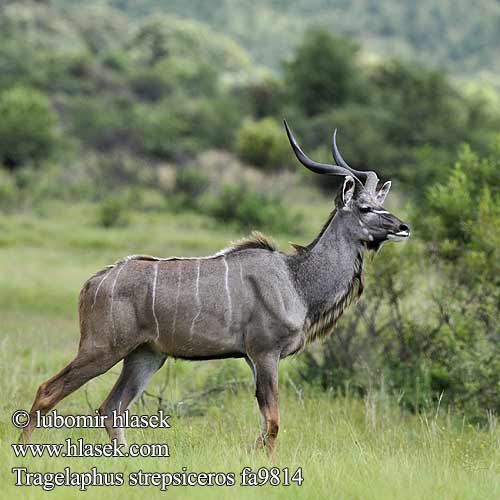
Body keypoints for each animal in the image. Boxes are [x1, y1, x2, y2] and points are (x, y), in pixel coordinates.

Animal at [20, 121, 410, 454]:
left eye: (382, 204)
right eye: (365, 207)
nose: (403, 227)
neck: (295, 279)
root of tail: (93, 282)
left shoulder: (254, 359)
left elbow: (265, 423)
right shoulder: (264, 353)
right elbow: (273, 422)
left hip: (146, 355)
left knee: (112, 407)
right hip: (102, 348)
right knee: (48, 391)